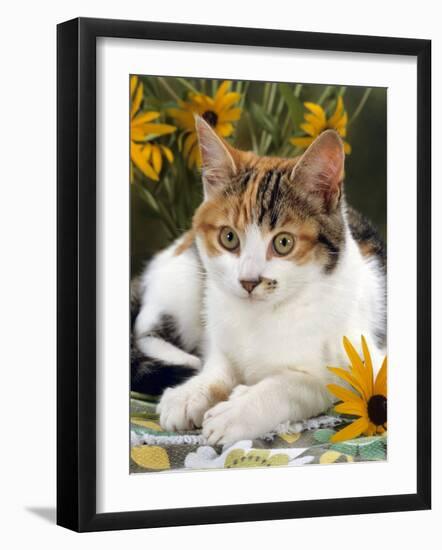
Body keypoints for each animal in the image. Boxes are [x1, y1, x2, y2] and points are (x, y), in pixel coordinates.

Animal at [132, 116, 386, 448]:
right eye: (229, 237)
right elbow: (219, 363)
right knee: (144, 327)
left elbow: (302, 383)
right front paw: (193, 392)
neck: (263, 314)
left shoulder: (358, 358)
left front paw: (238, 409)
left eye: (283, 243)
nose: (249, 281)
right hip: (186, 273)